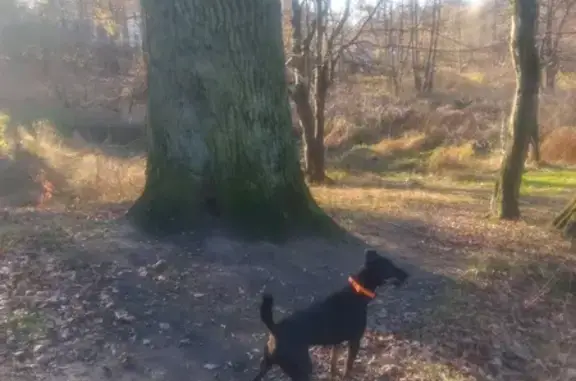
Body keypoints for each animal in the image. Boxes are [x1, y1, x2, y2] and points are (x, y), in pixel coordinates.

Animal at [252, 248, 410, 378]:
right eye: (390, 267)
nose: (406, 275)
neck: (357, 292)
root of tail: (275, 328)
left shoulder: (337, 343)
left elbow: (333, 363)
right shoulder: (355, 341)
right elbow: (348, 367)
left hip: (266, 365)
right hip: (303, 369)